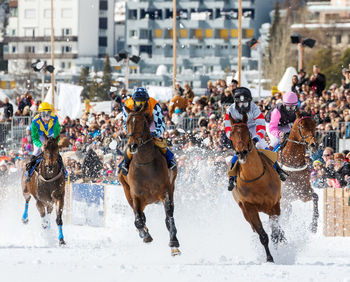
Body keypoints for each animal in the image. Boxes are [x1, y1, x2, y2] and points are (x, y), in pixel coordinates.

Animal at [119, 104, 182, 256]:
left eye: (143, 122)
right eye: (127, 122)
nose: (132, 146)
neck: (145, 163)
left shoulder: (165, 190)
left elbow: (169, 216)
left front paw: (174, 242)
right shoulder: (135, 195)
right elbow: (138, 220)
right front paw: (145, 234)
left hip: (171, 187)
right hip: (127, 192)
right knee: (139, 215)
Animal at [230, 112, 284, 262]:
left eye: (247, 132)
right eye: (231, 134)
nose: (241, 153)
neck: (256, 179)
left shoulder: (274, 204)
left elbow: (275, 233)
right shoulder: (249, 207)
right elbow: (263, 235)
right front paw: (270, 258)